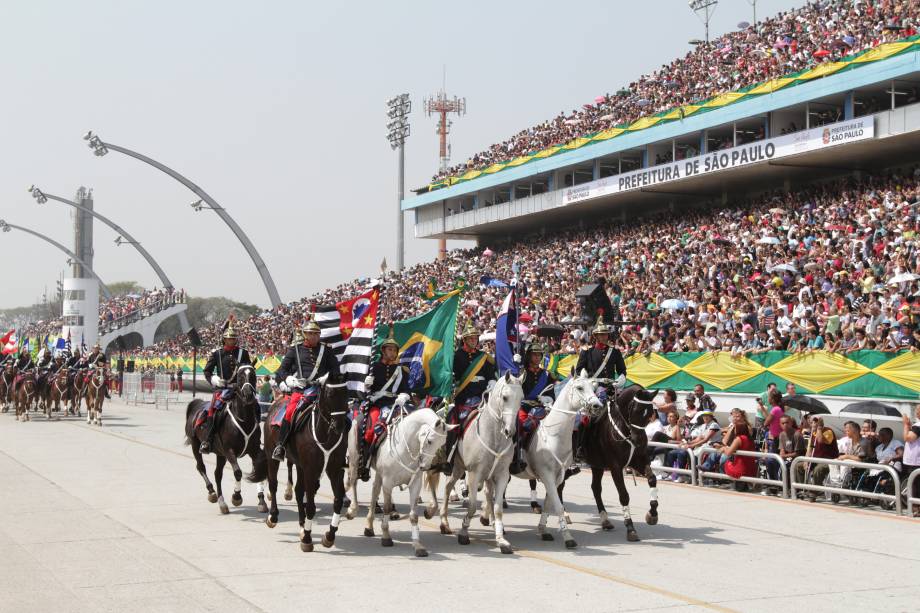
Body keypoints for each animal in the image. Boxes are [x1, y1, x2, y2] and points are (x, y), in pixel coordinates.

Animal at [182, 366, 262, 512]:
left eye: (253, 375)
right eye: (240, 377)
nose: (248, 394)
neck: (244, 420)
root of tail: (198, 404)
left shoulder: (254, 450)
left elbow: (259, 468)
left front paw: (262, 501)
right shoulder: (230, 451)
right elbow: (238, 472)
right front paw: (236, 497)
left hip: (220, 454)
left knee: (217, 474)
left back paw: (221, 502)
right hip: (196, 445)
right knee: (201, 467)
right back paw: (212, 492)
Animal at [362, 406, 456, 556]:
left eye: (442, 443)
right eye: (429, 441)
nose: (426, 467)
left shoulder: (415, 484)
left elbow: (413, 516)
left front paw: (418, 545)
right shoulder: (388, 482)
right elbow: (386, 508)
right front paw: (386, 536)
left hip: (380, 475)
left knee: (375, 490)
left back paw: (370, 524)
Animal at [440, 370, 524, 552]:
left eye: (521, 398)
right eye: (505, 397)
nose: (510, 431)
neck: (494, 436)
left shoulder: (501, 475)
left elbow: (498, 508)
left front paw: (501, 540)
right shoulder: (473, 474)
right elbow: (472, 506)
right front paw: (464, 533)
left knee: (487, 493)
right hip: (457, 467)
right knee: (448, 486)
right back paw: (444, 522)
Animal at [482, 370, 604, 548]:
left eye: (594, 387)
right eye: (580, 387)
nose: (597, 406)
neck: (554, 436)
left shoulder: (558, 477)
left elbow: (549, 503)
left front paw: (543, 529)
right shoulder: (547, 475)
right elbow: (558, 506)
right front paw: (568, 537)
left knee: (489, 492)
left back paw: (487, 518)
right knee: (490, 493)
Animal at [556, 382, 656, 540]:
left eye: (650, 412)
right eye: (635, 410)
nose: (639, 441)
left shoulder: (638, 460)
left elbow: (652, 479)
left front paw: (652, 514)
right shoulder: (615, 467)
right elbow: (624, 495)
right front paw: (630, 528)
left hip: (597, 465)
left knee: (595, 488)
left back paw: (605, 520)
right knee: (560, 486)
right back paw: (564, 514)